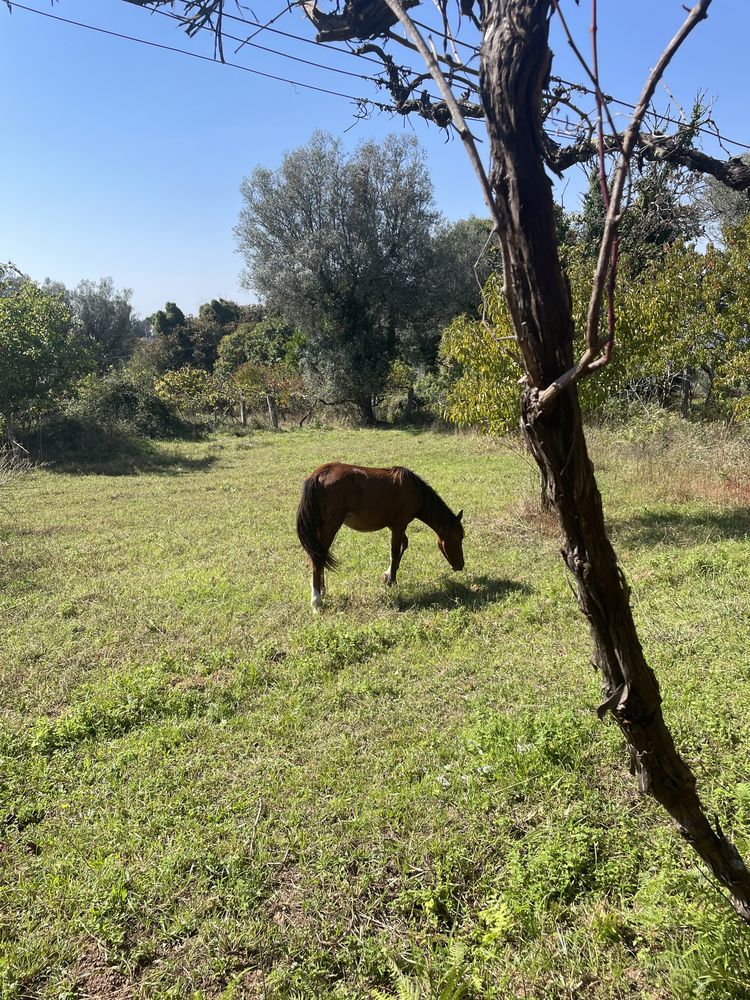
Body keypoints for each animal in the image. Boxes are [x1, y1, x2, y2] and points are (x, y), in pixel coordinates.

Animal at [296, 460, 464, 608]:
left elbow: (403, 545)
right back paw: (317, 601)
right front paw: (391, 580)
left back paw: (322, 591)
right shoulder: (399, 525)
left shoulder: (394, 526)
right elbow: (394, 552)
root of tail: (319, 474)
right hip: (330, 526)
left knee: (319, 556)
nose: (460, 565)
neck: (415, 490)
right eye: (459, 537)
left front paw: (388, 575)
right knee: (317, 558)